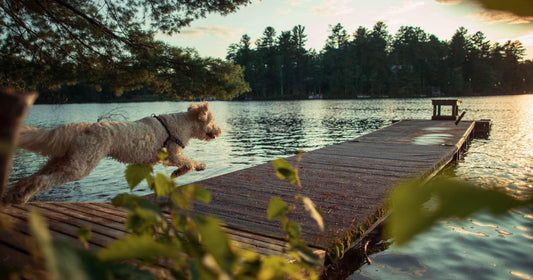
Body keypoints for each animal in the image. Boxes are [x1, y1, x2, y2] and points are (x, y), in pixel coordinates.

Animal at [2, 101, 220, 205]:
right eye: (212, 121)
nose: (219, 131)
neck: (182, 124)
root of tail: (83, 128)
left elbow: (184, 164)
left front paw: (178, 173)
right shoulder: (173, 154)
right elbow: (189, 161)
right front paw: (197, 167)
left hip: (62, 160)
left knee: (30, 177)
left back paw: (15, 195)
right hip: (79, 166)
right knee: (42, 180)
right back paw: (21, 197)